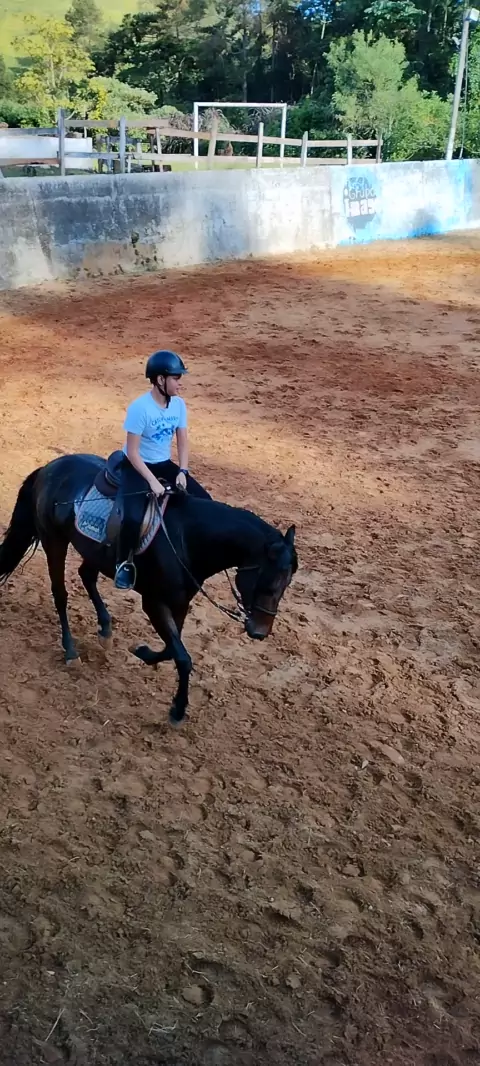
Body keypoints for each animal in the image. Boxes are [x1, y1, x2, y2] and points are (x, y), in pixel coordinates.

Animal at [0, 453, 297, 725]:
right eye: (268, 581)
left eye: (287, 583)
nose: (260, 632)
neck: (186, 537)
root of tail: (50, 467)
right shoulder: (153, 602)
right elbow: (182, 657)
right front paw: (178, 711)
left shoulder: (180, 603)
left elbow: (172, 649)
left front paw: (143, 652)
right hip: (54, 541)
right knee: (60, 594)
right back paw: (71, 651)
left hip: (95, 550)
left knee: (86, 576)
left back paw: (105, 629)